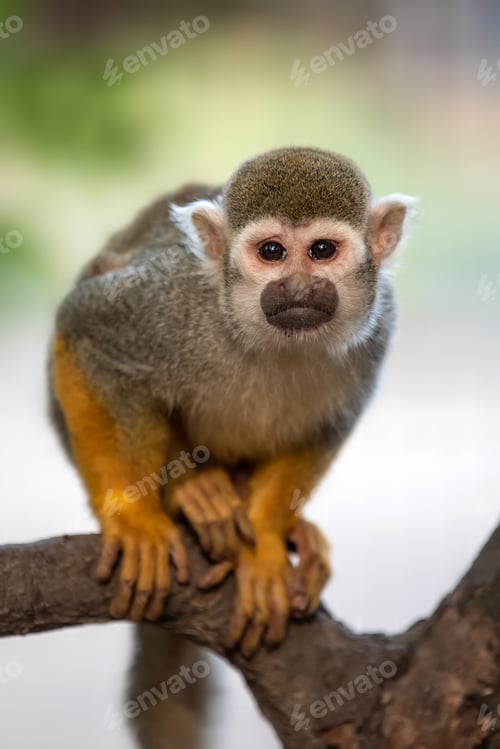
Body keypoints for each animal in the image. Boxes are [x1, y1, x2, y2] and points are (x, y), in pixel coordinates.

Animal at [48, 146, 416, 747]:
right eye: (271, 253)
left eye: (322, 251)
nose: (296, 288)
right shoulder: (169, 302)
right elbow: (86, 330)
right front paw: (133, 516)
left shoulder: (379, 326)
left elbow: (331, 422)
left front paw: (263, 541)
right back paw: (192, 494)